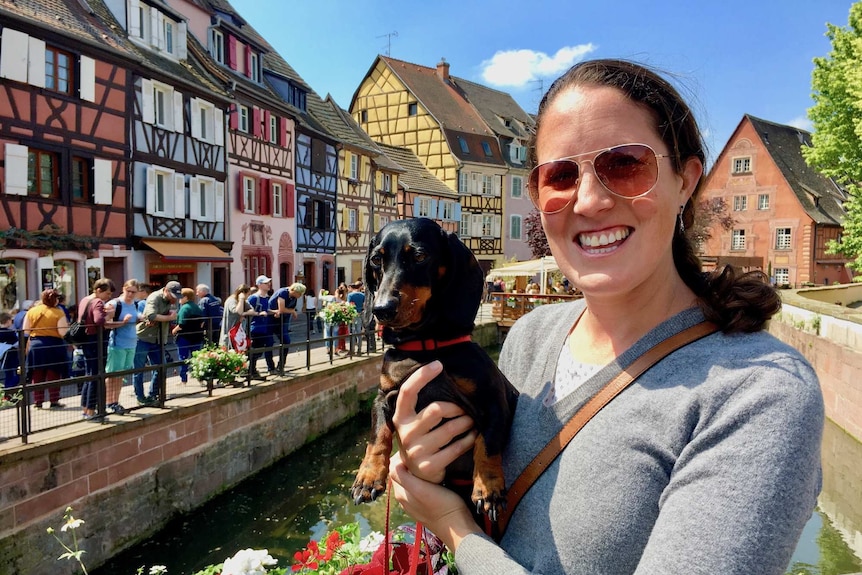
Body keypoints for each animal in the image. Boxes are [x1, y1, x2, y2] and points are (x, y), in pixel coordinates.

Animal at [352, 218, 520, 524]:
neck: (425, 347)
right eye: (376, 260)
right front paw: (368, 478)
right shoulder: (383, 397)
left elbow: (487, 443)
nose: (381, 309)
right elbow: (377, 436)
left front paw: (488, 488)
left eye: (419, 256)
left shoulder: (495, 402)